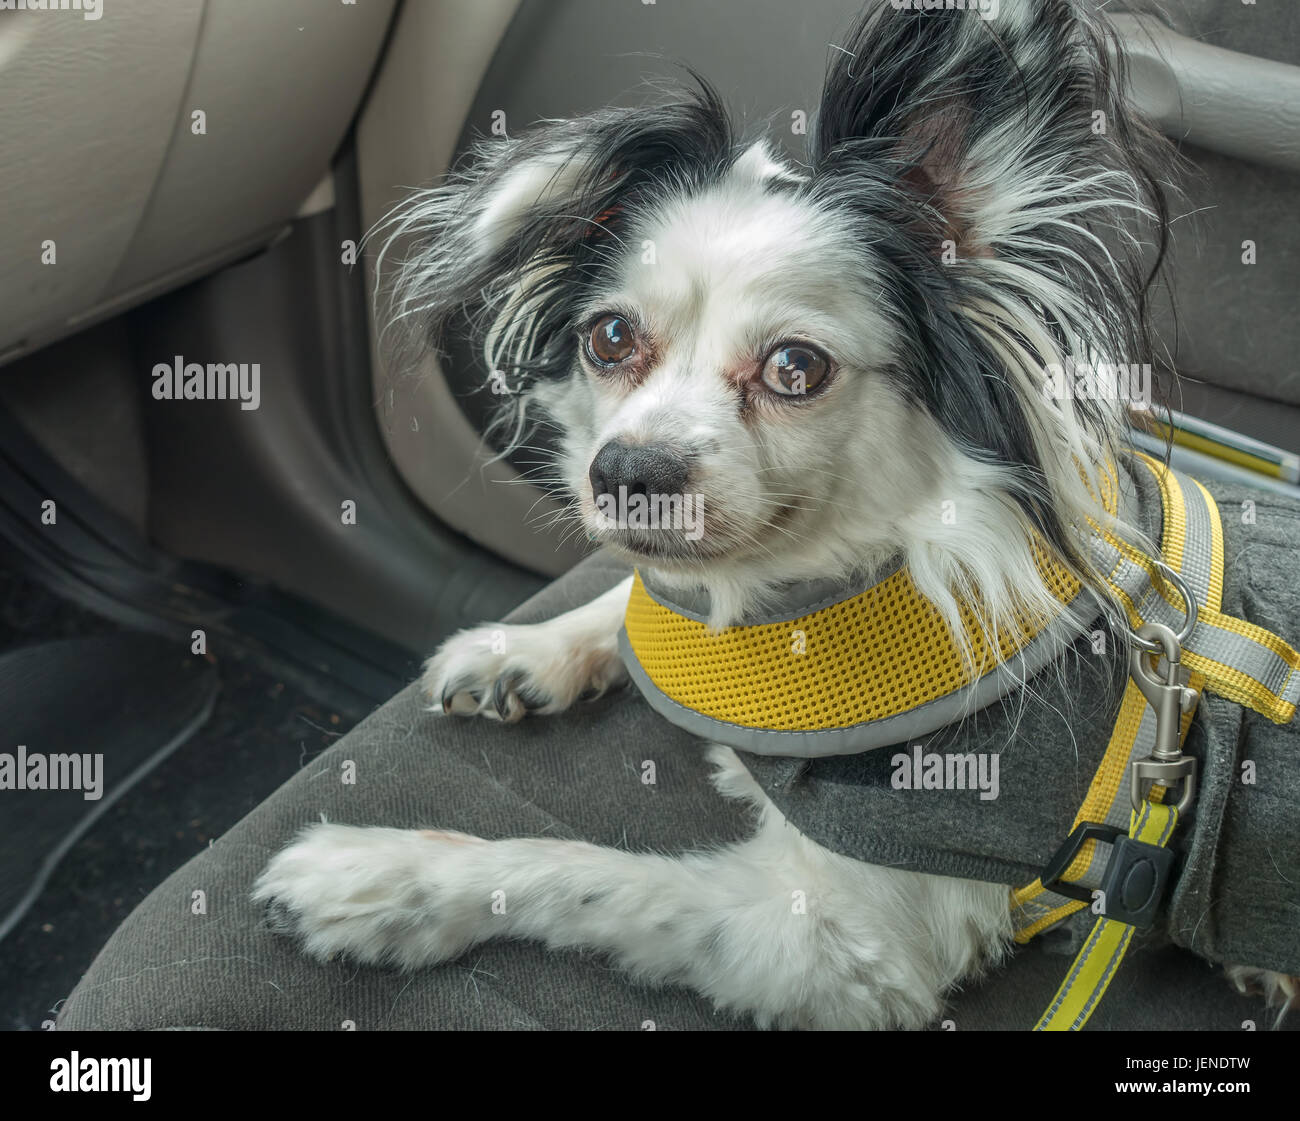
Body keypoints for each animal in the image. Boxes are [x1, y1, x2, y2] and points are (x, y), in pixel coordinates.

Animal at [256, 0, 1300, 1029]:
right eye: (609, 338)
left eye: (796, 367)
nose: (625, 469)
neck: (807, 609)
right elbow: (632, 603)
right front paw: (523, 649)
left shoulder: (836, 941)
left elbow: (577, 871)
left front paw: (380, 876)